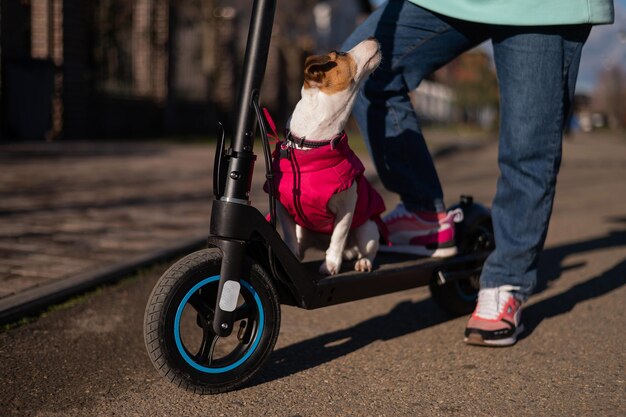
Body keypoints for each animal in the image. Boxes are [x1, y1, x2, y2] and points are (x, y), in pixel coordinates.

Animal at [266, 37, 382, 274]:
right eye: (340, 53)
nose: (374, 38)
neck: (312, 144)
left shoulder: (348, 205)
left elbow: (338, 235)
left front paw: (330, 264)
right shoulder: (283, 207)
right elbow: (288, 237)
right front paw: (290, 257)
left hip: (367, 229)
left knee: (367, 249)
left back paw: (363, 261)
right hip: (304, 230)